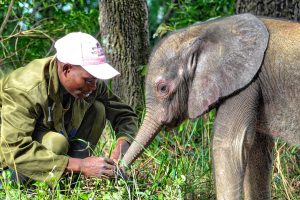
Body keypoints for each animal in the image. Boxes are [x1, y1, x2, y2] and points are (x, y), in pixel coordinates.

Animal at [122, 13, 300, 199]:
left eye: (162, 88)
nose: (120, 175)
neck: (204, 30)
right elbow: (257, 151)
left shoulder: (245, 85)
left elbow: (228, 145)